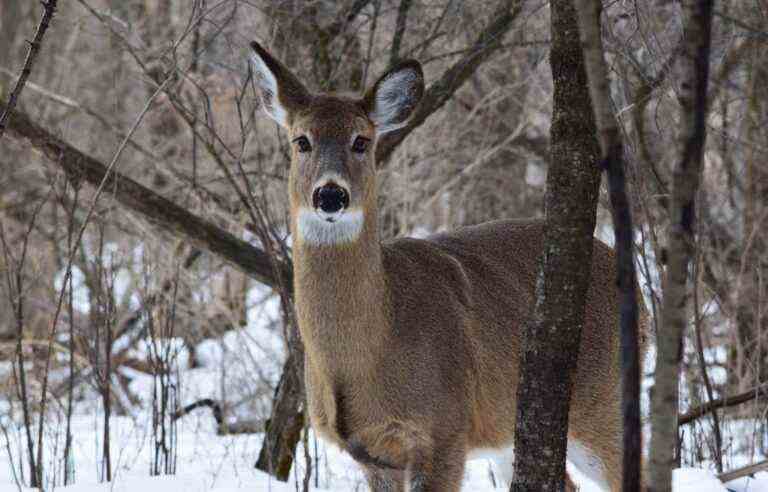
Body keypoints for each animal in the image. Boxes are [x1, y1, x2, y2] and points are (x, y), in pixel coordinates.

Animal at [246, 40, 640, 490]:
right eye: (301, 141)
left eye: (361, 141)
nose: (330, 195)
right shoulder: (372, 455)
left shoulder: (444, 428)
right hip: (511, 429)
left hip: (601, 398)